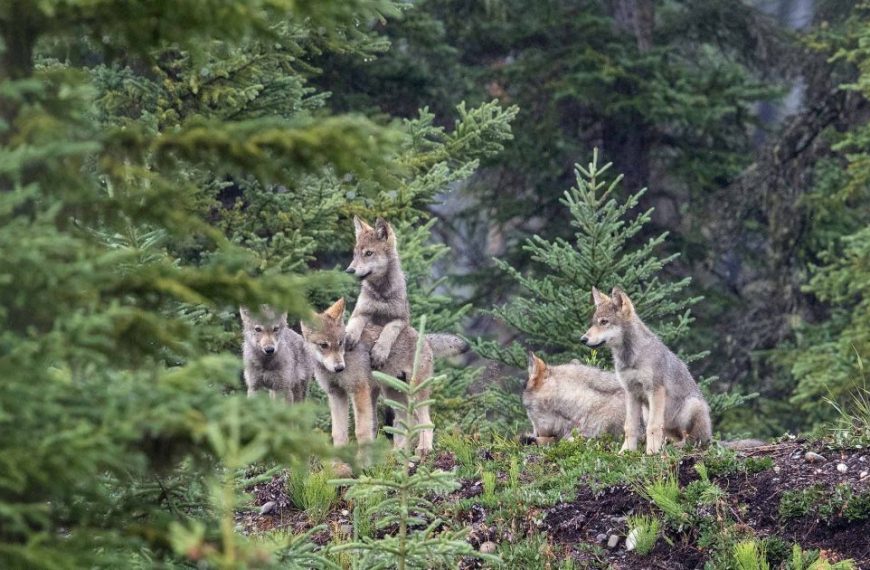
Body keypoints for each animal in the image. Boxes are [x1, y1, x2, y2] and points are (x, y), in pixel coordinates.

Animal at [581, 287, 712, 454]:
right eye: (593, 323)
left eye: (604, 322)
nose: (582, 339)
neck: (630, 358)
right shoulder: (631, 393)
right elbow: (630, 427)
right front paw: (625, 452)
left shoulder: (655, 390)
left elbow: (653, 426)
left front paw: (652, 452)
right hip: (648, 412)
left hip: (691, 406)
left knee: (692, 440)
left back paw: (678, 447)